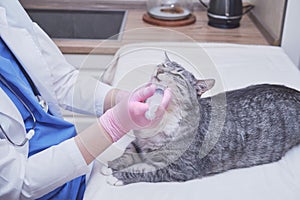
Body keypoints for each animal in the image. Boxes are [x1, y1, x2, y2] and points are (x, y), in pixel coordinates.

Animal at [107, 52, 300, 184]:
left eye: (177, 74)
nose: (160, 69)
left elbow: (142, 170)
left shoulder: (180, 168)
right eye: (163, 64)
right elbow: (128, 154)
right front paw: (112, 165)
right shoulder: (139, 143)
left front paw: (117, 176)